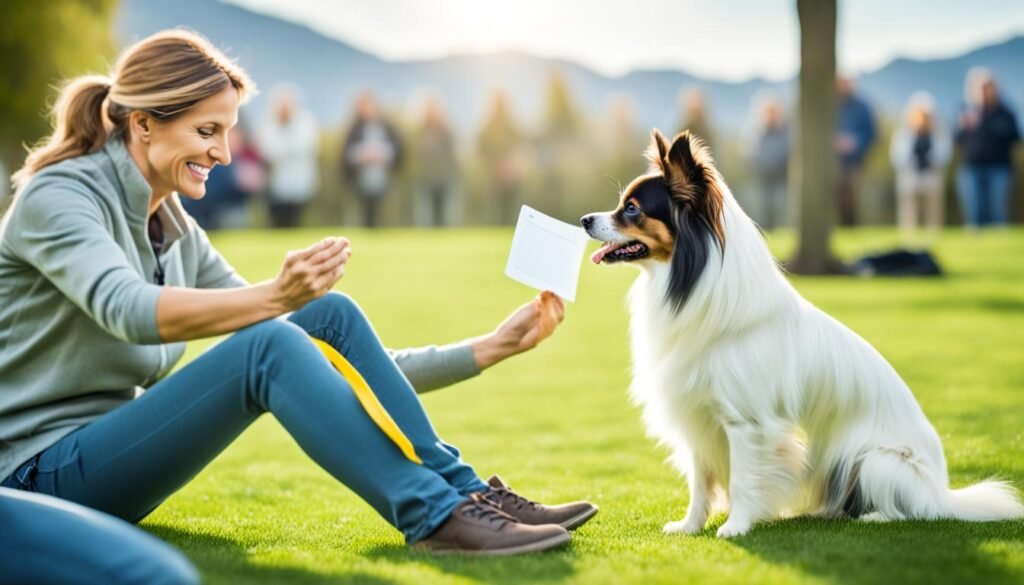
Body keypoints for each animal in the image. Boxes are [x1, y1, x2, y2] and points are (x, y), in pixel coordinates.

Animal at [581, 129, 1019, 540]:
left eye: (632, 209)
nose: (585, 220)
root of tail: (941, 492)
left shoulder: (745, 423)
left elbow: (743, 480)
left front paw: (736, 527)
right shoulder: (697, 418)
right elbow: (700, 482)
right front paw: (690, 526)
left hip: (879, 461)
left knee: (911, 511)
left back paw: (875, 516)